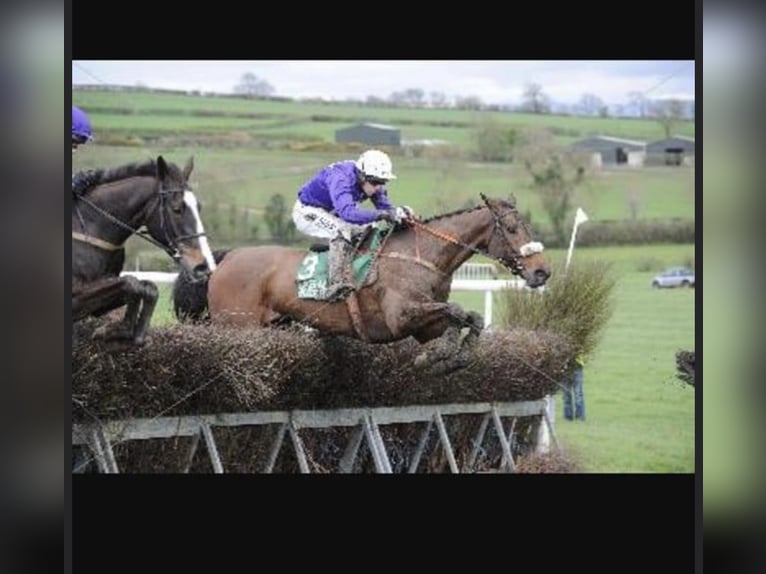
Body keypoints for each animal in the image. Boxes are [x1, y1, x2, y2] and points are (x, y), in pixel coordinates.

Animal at [72, 156, 218, 346]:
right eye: (177, 209)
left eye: (198, 207)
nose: (204, 267)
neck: (90, 227)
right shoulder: (75, 296)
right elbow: (131, 282)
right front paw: (120, 329)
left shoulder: (98, 307)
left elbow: (147, 287)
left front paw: (129, 332)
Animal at [172, 194, 552, 374]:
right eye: (513, 229)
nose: (542, 272)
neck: (421, 256)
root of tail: (225, 260)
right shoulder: (400, 317)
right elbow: (457, 309)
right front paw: (436, 357)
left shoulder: (425, 325)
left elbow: (470, 317)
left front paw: (454, 358)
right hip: (236, 327)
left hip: (275, 326)